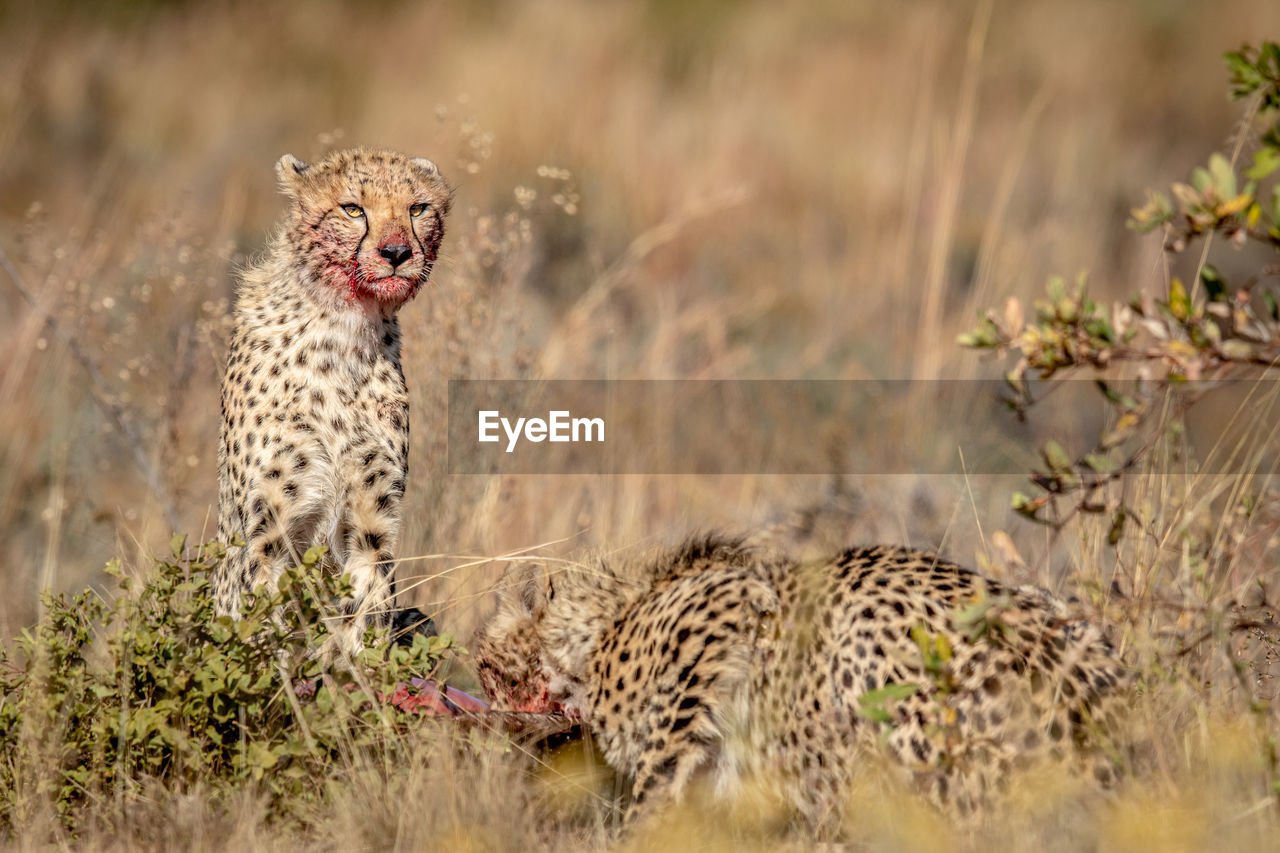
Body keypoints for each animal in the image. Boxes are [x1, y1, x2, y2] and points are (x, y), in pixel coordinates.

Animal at [218, 146, 455, 650]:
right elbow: (263, 631)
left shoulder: (372, 521)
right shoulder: (269, 530)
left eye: (418, 209)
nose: (397, 253)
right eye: (352, 209)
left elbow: (367, 611)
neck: (344, 329)